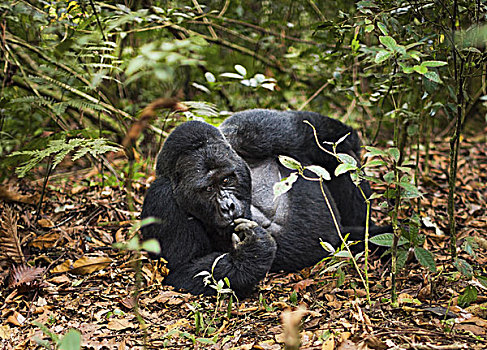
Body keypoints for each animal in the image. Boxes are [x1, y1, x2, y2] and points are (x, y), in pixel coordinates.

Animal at [141, 109, 388, 298]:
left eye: (227, 180)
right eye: (208, 189)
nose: (228, 206)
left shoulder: (251, 130)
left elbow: (315, 132)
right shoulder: (162, 200)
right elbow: (184, 270)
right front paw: (251, 254)